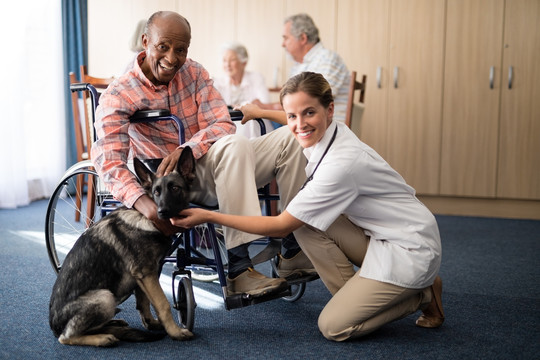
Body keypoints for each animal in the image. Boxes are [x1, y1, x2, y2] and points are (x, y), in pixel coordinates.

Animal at [48, 147, 196, 346]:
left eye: (175, 188)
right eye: (156, 192)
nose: (161, 212)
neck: (144, 217)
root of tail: (54, 328)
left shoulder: (145, 276)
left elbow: (145, 303)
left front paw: (152, 323)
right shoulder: (147, 273)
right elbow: (163, 304)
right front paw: (175, 332)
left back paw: (113, 324)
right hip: (105, 297)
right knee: (66, 337)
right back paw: (102, 338)